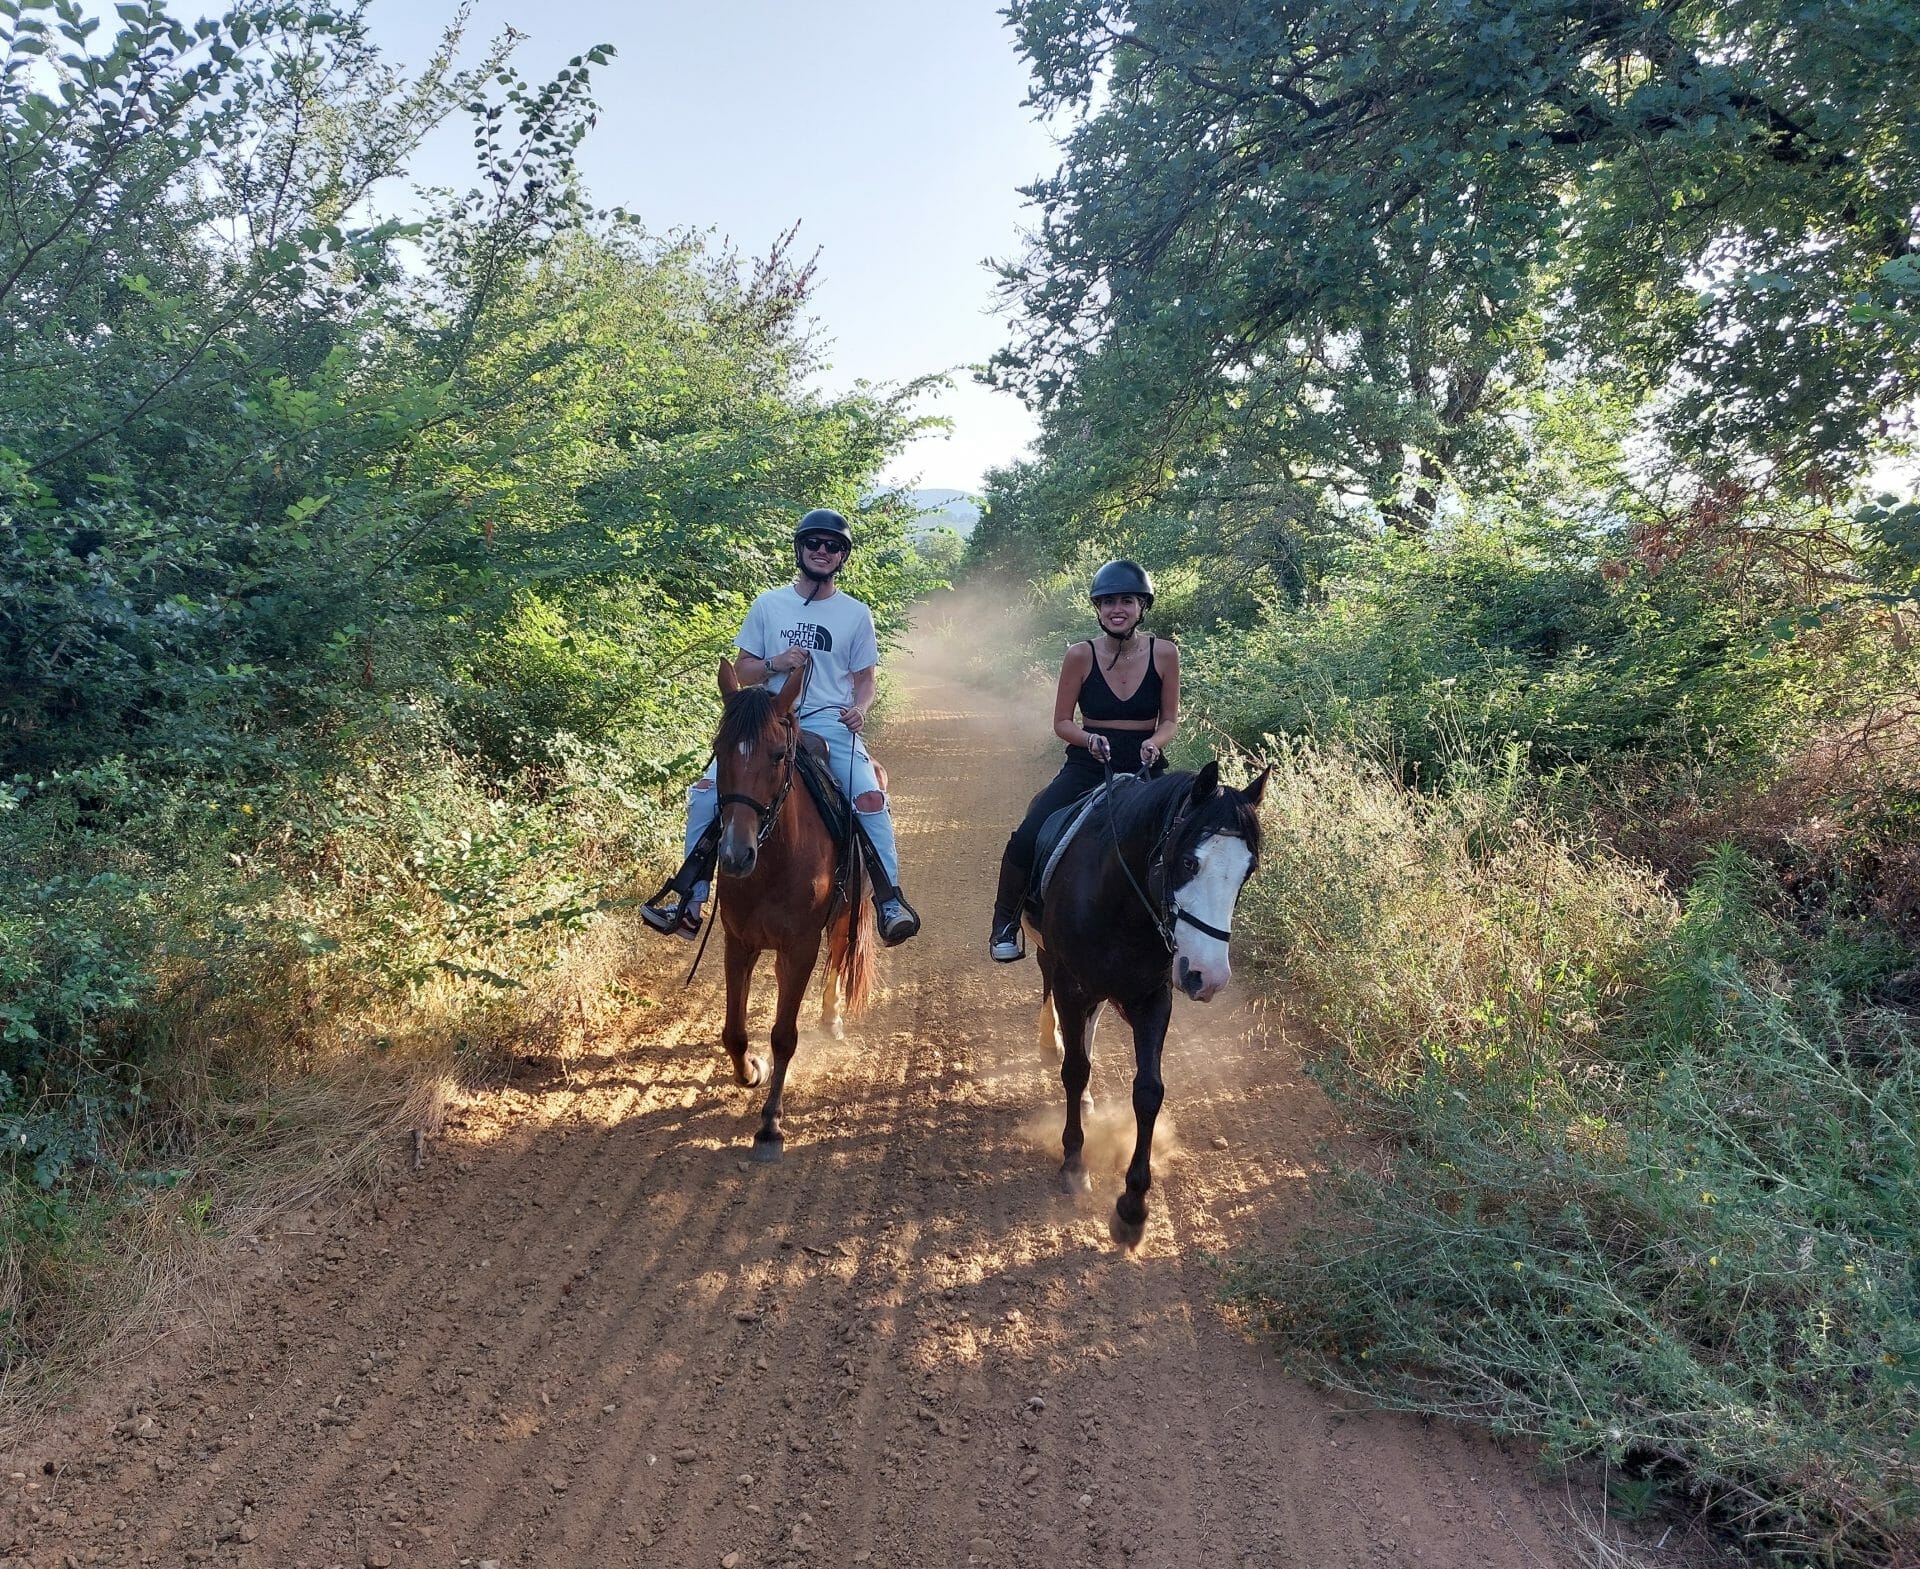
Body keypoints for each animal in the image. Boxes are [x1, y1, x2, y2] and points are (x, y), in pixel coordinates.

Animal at [714, 656, 879, 1159]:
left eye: (776, 756)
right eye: (718, 750)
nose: (735, 854)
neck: (774, 858)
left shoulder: (803, 944)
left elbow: (784, 1034)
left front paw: (770, 1123)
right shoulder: (739, 942)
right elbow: (734, 1031)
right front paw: (751, 1070)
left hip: (843, 916)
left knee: (838, 959)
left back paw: (831, 1018)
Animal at [1029, 760, 1267, 1252]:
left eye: (1247, 871)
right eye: (1190, 861)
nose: (1208, 976)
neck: (1121, 905)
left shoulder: (1153, 1000)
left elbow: (1149, 1091)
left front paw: (1132, 1207)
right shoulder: (1071, 983)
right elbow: (1073, 1068)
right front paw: (1074, 1163)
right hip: (1052, 961)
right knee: (1049, 994)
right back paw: (1049, 1041)